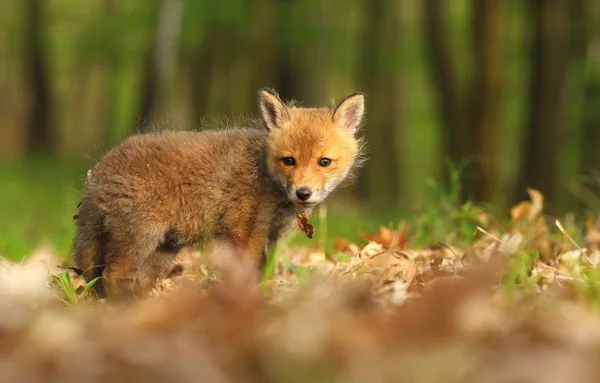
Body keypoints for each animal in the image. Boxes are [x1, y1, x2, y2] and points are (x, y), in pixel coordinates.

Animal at [75, 88, 366, 298]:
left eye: (324, 162)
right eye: (289, 161)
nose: (303, 192)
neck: (263, 173)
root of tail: (98, 171)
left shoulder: (273, 236)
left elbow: (266, 275)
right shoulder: (242, 230)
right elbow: (245, 275)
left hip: (164, 249)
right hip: (140, 236)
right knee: (112, 275)